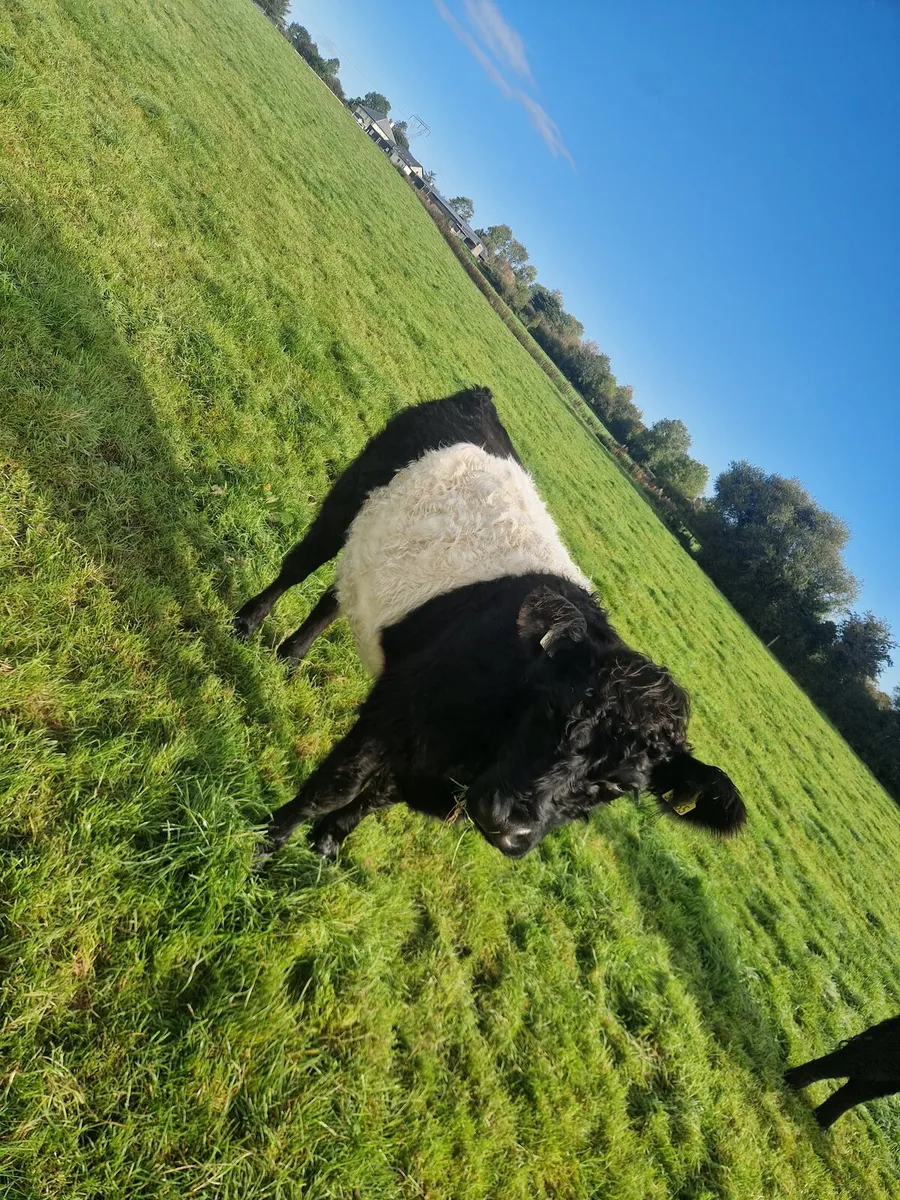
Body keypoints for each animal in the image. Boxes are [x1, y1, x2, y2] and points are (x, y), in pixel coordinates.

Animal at [234, 386, 746, 859]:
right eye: (552, 710)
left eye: (620, 786)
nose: (510, 826)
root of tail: (477, 399)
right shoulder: (393, 713)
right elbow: (336, 786)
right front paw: (266, 843)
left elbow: (374, 798)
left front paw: (328, 843)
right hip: (351, 494)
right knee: (300, 564)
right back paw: (246, 627)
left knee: (335, 597)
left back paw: (290, 659)